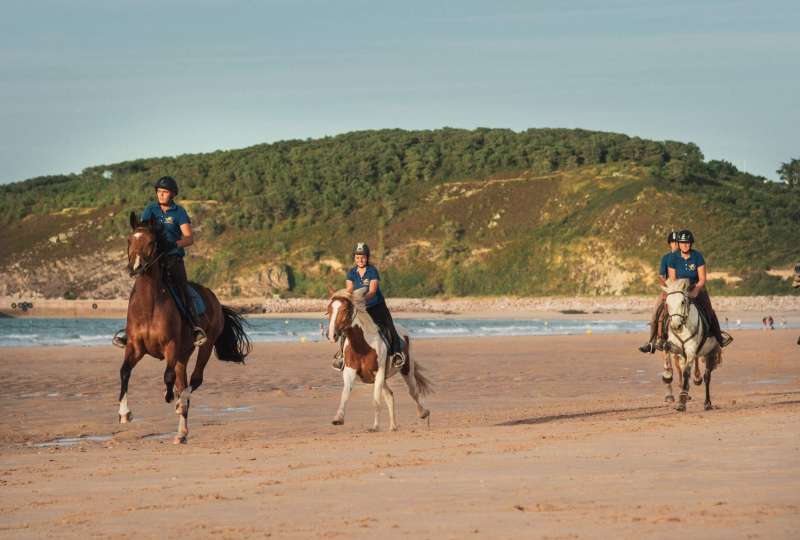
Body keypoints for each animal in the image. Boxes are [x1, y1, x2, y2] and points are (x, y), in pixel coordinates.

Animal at [118, 211, 250, 442]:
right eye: (129, 240)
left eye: (151, 242)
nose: (135, 268)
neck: (149, 304)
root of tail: (214, 299)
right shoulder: (135, 346)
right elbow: (125, 371)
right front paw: (124, 413)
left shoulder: (170, 346)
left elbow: (167, 377)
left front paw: (170, 397)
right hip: (183, 354)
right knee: (183, 381)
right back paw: (181, 433)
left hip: (204, 347)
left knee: (194, 381)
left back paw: (181, 404)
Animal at [326, 288, 432, 432]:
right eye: (329, 309)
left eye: (345, 309)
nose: (332, 335)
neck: (363, 345)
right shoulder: (350, 371)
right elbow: (345, 393)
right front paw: (338, 418)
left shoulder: (379, 372)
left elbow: (376, 400)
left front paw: (375, 426)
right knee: (389, 395)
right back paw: (393, 426)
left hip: (407, 370)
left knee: (413, 391)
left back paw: (423, 413)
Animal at [660, 280, 720, 412]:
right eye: (667, 303)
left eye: (682, 302)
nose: (676, 326)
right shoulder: (676, 349)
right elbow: (667, 350)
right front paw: (667, 375)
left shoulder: (691, 351)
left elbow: (687, 372)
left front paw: (682, 401)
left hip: (710, 352)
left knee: (707, 376)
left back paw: (707, 403)